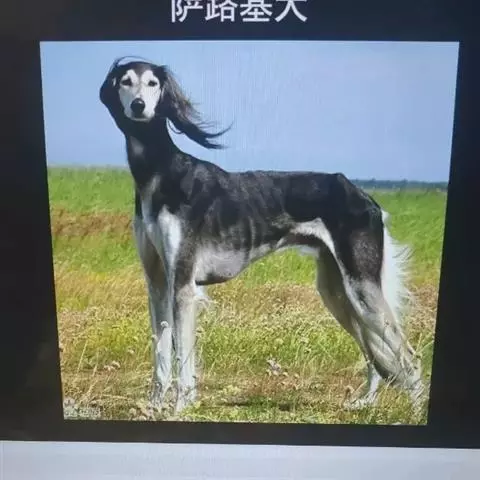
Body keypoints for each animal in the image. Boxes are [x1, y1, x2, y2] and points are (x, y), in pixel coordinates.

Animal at [99, 56, 424, 415]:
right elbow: (160, 352)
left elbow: (183, 355)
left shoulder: (183, 284)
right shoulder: (157, 282)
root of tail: (366, 197)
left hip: (361, 287)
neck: (160, 172)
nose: (139, 106)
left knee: (407, 355)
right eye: (125, 81)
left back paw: (414, 410)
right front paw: (155, 405)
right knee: (373, 352)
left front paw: (181, 407)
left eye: (152, 83)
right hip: (337, 290)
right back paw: (365, 402)